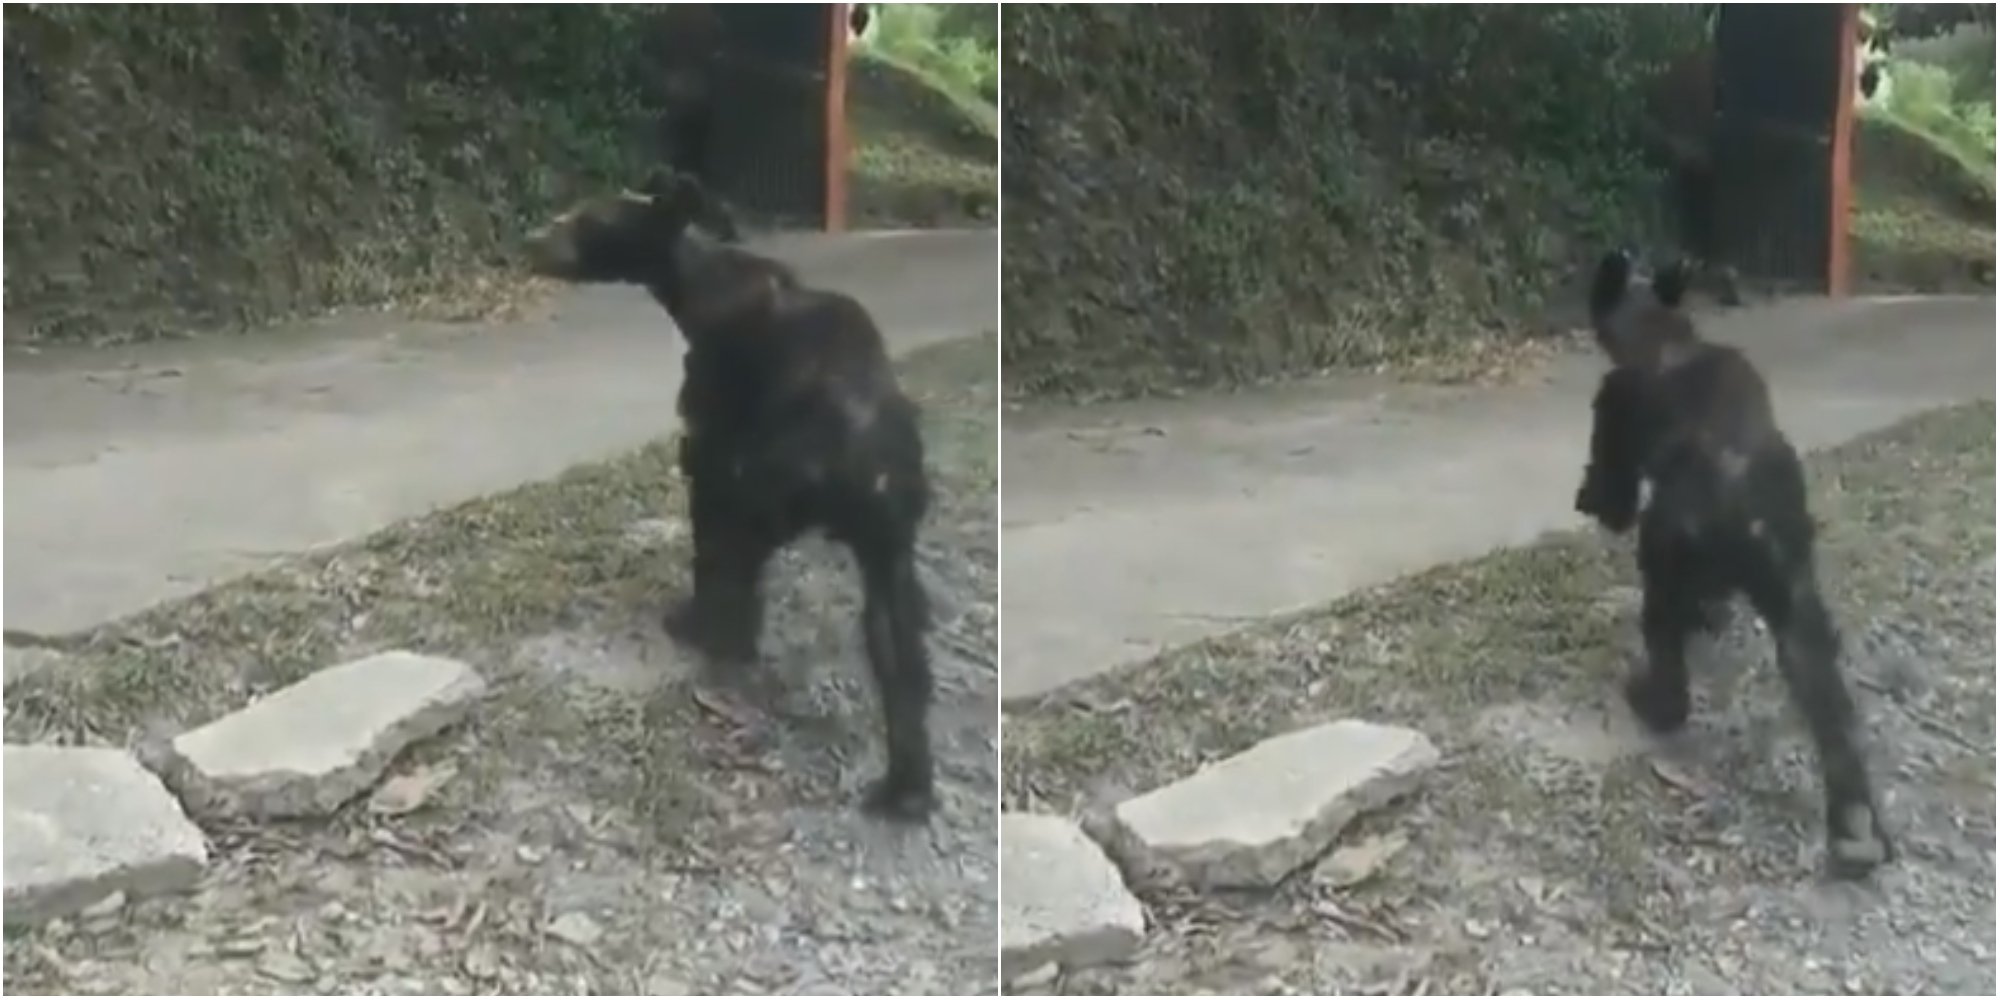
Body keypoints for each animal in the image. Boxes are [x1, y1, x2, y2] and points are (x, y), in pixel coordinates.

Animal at [528, 172, 940, 820]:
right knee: (893, 634)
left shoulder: (716, 420)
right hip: (886, 530)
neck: (699, 280)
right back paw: (907, 785)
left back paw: (714, 632)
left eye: (587, 220)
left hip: (772, 481)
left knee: (734, 546)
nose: (531, 241)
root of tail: (859, 453)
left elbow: (707, 497)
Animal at [1576, 252, 1888, 884]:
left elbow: (1611, 477)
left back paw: (1651, 699)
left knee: (1665, 643)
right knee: (1820, 684)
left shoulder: (1615, 408)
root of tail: (1742, 510)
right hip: (1793, 590)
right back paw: (1855, 827)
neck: (1669, 337)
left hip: (1666, 554)